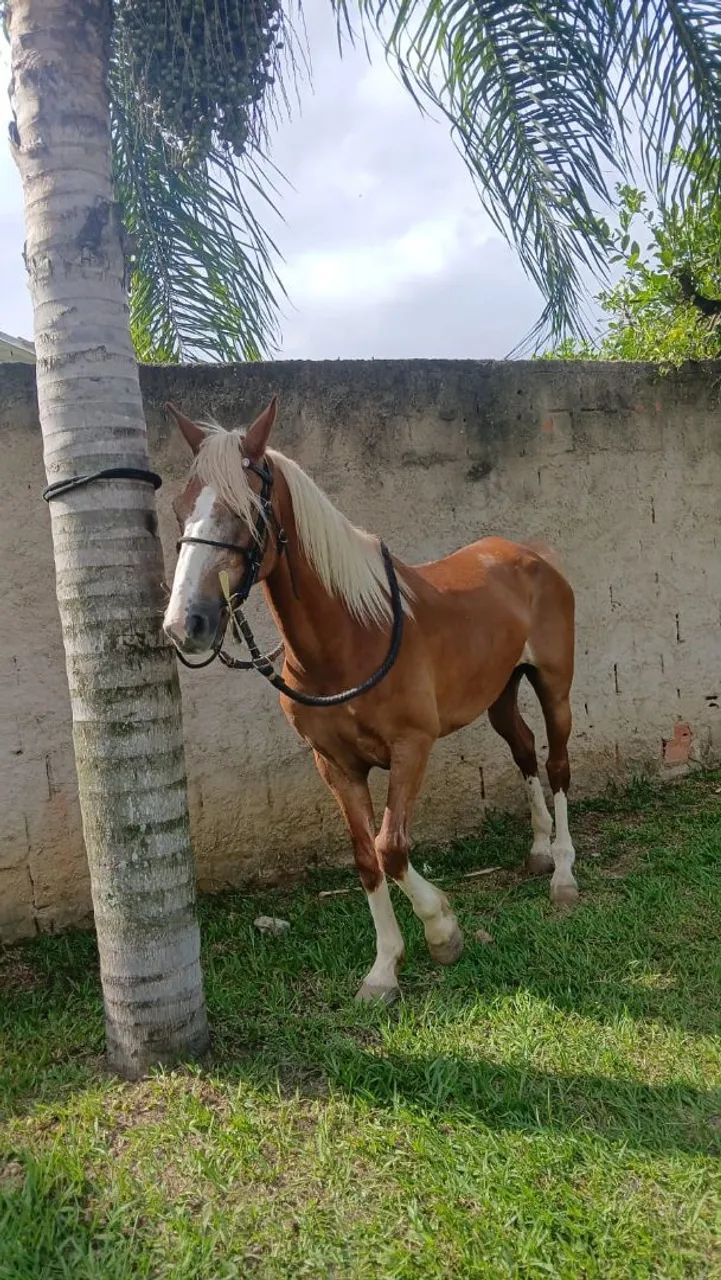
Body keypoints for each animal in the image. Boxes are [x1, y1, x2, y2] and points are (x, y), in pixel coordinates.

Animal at [163, 397, 578, 1003]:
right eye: (179, 508)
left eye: (247, 511)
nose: (185, 624)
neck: (353, 636)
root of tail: (533, 554)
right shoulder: (335, 765)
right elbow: (365, 857)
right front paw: (384, 970)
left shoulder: (411, 748)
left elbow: (391, 847)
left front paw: (443, 932)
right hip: (500, 693)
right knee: (524, 751)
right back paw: (541, 850)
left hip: (554, 685)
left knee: (558, 764)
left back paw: (565, 874)